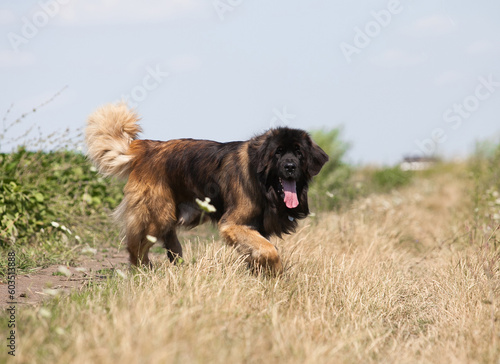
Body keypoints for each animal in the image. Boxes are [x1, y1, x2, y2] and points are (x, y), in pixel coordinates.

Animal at [86, 102, 328, 272]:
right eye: (278, 152)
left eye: (298, 152)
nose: (290, 167)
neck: (263, 184)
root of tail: (147, 147)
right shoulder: (232, 224)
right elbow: (269, 250)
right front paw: (276, 272)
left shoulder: (255, 227)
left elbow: (259, 248)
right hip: (156, 214)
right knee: (136, 247)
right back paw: (143, 272)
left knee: (168, 241)